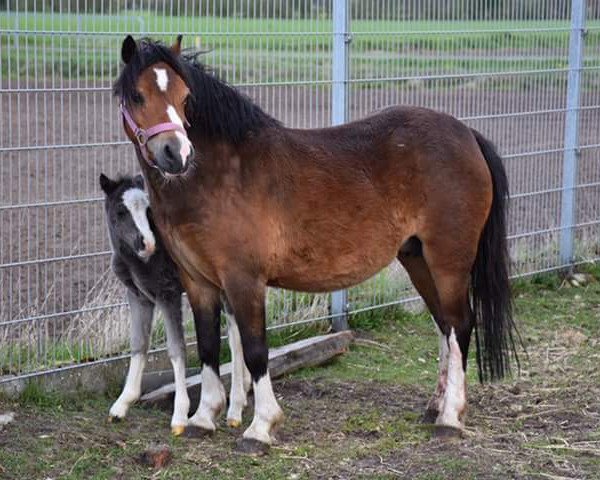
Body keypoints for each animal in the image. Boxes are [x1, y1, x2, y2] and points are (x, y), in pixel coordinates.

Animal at [99, 173, 250, 436]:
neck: (139, 263)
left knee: (235, 338)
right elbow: (139, 343)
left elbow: (176, 349)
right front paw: (122, 405)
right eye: (120, 211)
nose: (147, 244)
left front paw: (180, 416)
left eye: (148, 209)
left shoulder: (168, 294)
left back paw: (235, 409)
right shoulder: (138, 297)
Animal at [115, 36, 516, 450]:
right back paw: (435, 406)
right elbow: (208, 347)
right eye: (137, 95)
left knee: (460, 324)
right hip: (418, 258)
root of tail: (468, 135)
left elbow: (256, 351)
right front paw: (202, 418)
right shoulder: (198, 282)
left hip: (449, 260)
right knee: (443, 325)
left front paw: (261, 426)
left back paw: (450, 417)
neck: (218, 176)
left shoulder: (244, 280)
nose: (176, 153)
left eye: (185, 97)